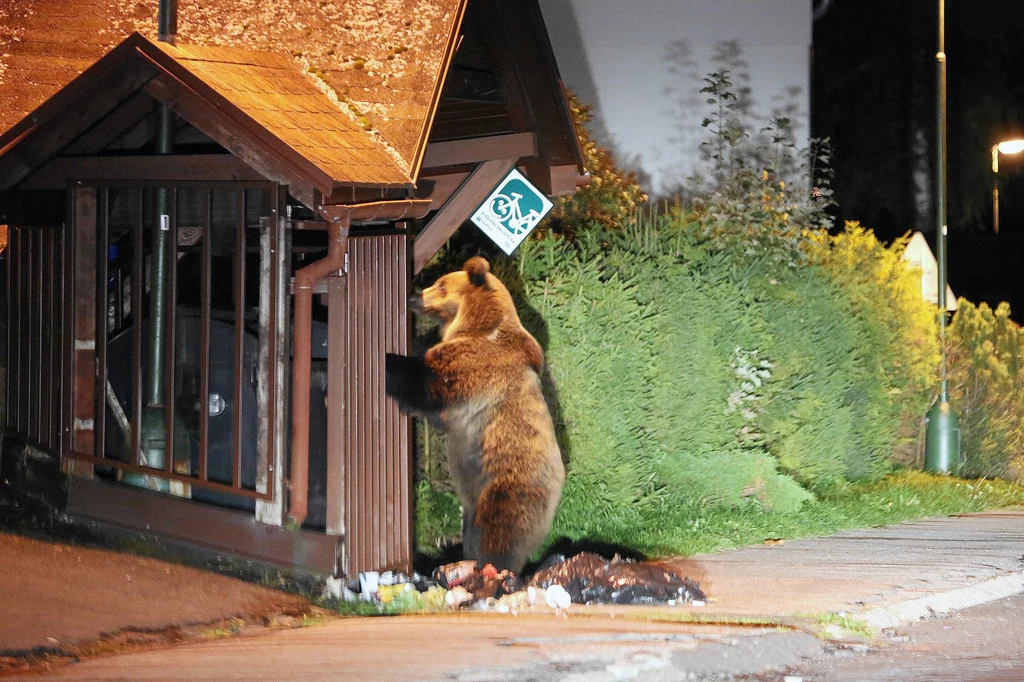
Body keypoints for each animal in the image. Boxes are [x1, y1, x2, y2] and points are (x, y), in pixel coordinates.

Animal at [385, 254, 565, 573]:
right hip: (473, 502)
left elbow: (425, 381)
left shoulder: (477, 365)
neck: (476, 323)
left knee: (500, 532)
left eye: (441, 285)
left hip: (507, 485)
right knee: (473, 531)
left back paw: (493, 568)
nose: (413, 296)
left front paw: (387, 361)